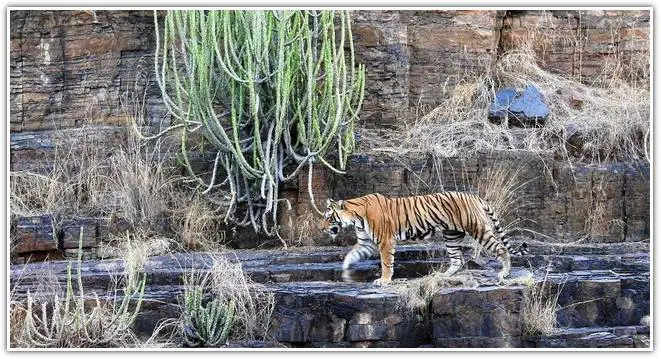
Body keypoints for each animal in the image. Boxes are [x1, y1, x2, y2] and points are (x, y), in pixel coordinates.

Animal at [322, 193, 528, 288]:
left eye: (328, 217)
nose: (322, 229)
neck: (355, 217)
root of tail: (474, 196)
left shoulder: (385, 241)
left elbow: (386, 263)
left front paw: (384, 281)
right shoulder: (367, 243)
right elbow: (351, 254)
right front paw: (345, 270)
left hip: (478, 229)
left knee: (501, 248)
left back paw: (504, 273)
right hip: (451, 235)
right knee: (457, 260)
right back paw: (442, 276)